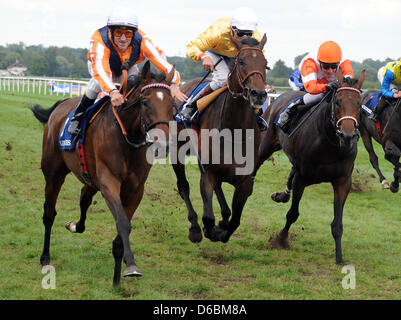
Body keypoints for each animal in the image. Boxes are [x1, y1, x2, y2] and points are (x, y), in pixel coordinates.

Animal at [31, 61, 175, 286]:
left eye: (172, 104)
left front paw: (121, 270)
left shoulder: (135, 189)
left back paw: (75, 226)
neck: (127, 139)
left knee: (84, 198)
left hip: (90, 177)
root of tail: (61, 106)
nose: (164, 145)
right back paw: (45, 257)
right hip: (53, 173)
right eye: (145, 102)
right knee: (49, 213)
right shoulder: (109, 183)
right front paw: (129, 266)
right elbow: (122, 223)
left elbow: (122, 225)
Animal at [171, 33, 266, 242]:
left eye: (266, 63)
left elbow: (235, 221)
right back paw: (195, 228)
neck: (234, 129)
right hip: (177, 150)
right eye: (241, 61)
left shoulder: (245, 181)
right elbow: (208, 217)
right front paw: (209, 230)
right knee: (183, 186)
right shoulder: (207, 173)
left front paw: (223, 227)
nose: (259, 94)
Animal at [255, 71, 364, 264]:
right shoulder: (302, 178)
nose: (347, 135)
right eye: (338, 101)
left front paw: (339, 257)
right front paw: (281, 239)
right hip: (265, 144)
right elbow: (293, 214)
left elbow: (337, 223)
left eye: (359, 104)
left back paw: (282, 195)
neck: (329, 143)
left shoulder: (343, 181)